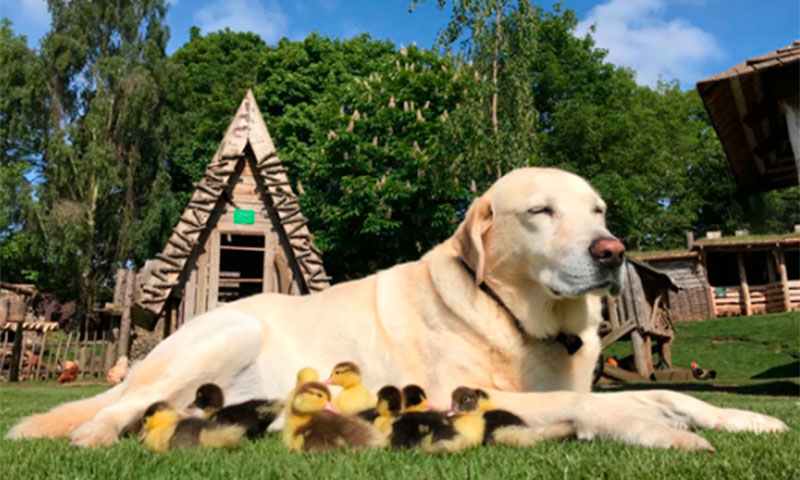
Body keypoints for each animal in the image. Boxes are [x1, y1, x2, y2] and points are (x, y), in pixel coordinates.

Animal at [7, 167, 788, 448]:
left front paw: (742, 418)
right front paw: (653, 428)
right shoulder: (460, 392)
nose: (611, 250)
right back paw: (101, 435)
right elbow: (606, 403)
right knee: (114, 413)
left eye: (597, 210)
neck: (524, 321)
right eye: (541, 212)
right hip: (227, 329)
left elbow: (671, 393)